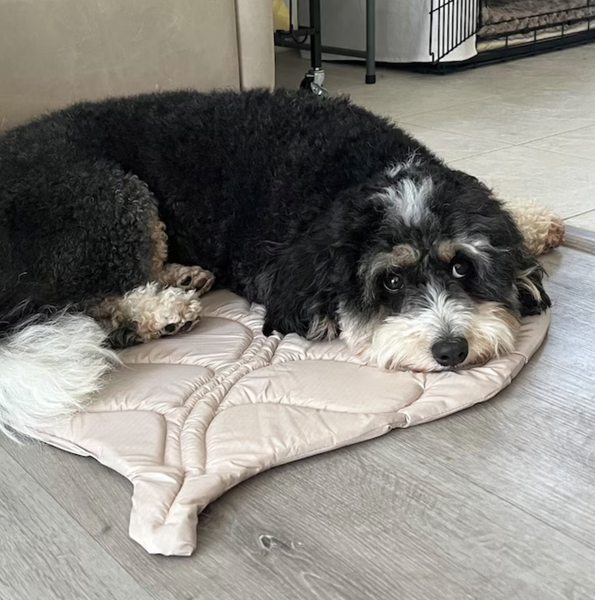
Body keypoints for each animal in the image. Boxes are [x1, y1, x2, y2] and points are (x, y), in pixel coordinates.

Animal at [0, 89, 548, 434]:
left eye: (461, 268)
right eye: (391, 281)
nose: (452, 350)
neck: (359, 172)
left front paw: (539, 225)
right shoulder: (269, 267)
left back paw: (182, 278)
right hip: (109, 199)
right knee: (86, 300)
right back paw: (164, 308)